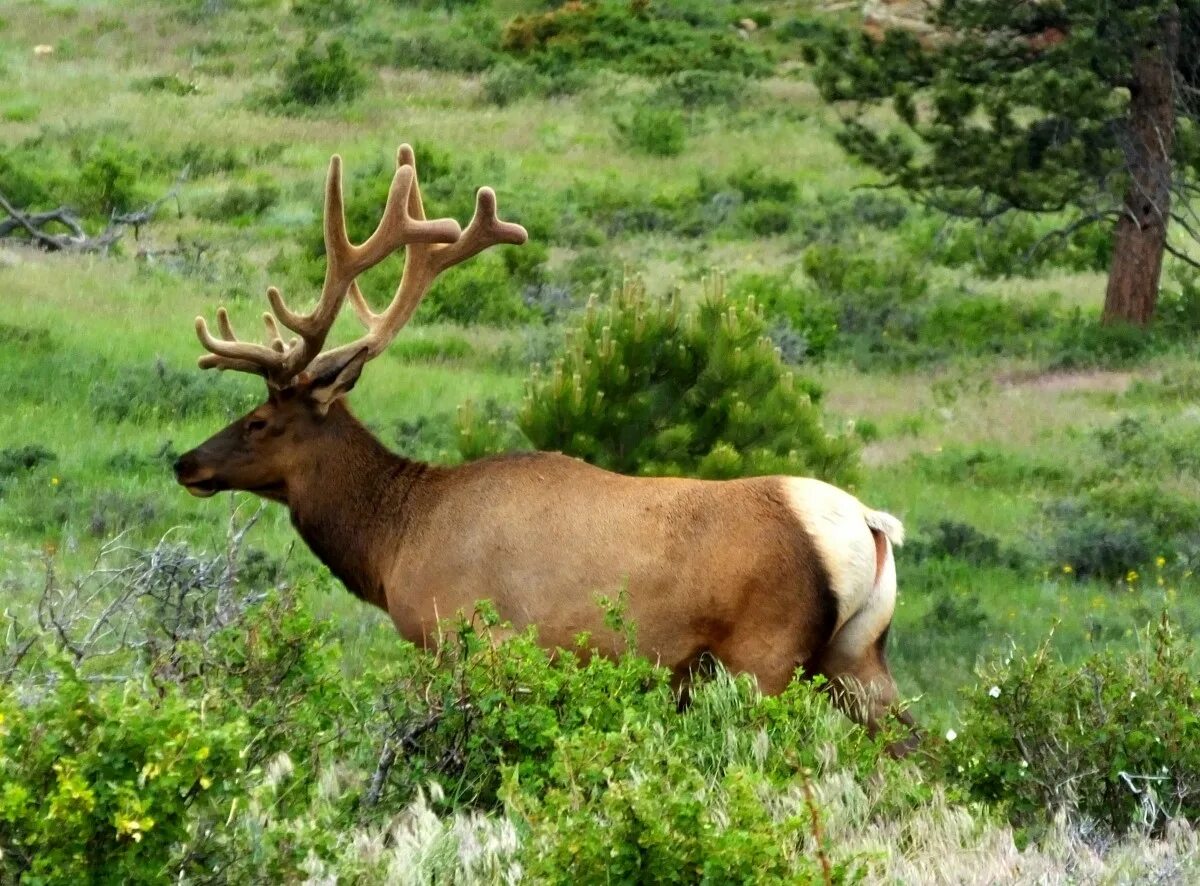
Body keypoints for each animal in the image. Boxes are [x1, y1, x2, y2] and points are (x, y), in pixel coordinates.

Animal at [171, 143, 916, 744]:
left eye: (259, 420)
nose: (186, 462)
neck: (396, 540)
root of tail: (868, 522)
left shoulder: (465, 637)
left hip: (765, 655)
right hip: (857, 656)